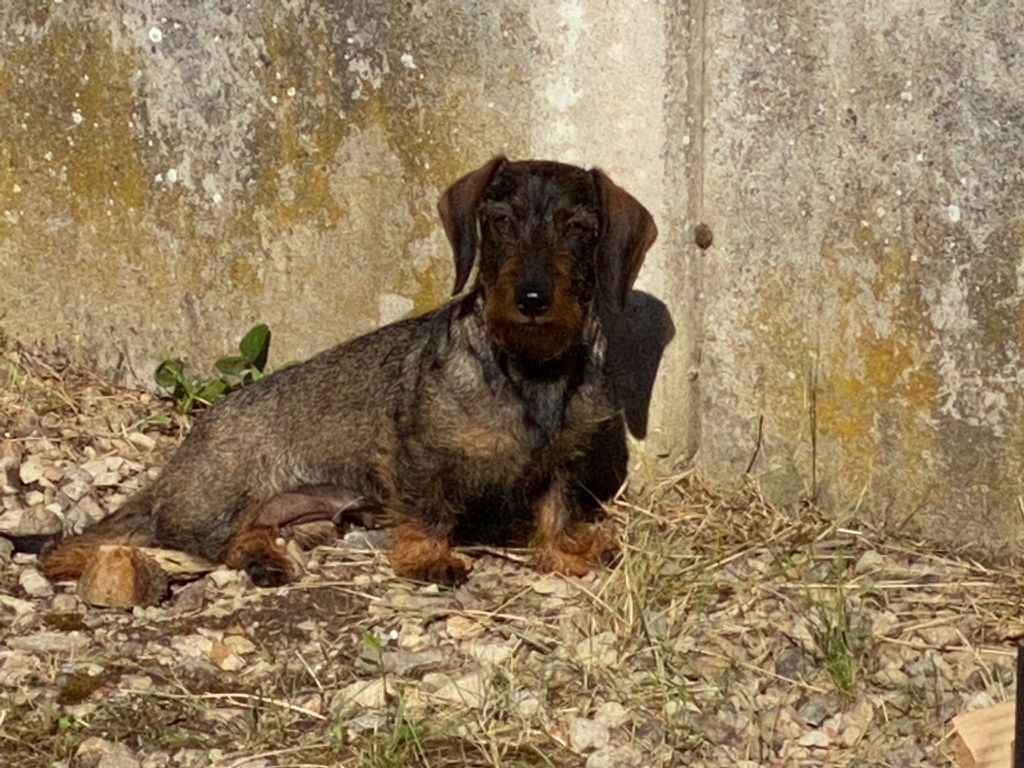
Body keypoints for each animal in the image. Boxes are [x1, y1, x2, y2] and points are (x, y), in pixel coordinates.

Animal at [37, 156, 655, 589]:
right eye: (500, 221)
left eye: (578, 228)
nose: (531, 297)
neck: (530, 370)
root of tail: (176, 469)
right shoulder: (415, 451)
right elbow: (429, 509)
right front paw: (429, 557)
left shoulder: (562, 462)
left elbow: (556, 508)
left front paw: (565, 550)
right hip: (215, 505)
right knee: (211, 539)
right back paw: (254, 560)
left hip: (298, 516)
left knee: (250, 532)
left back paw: (265, 558)